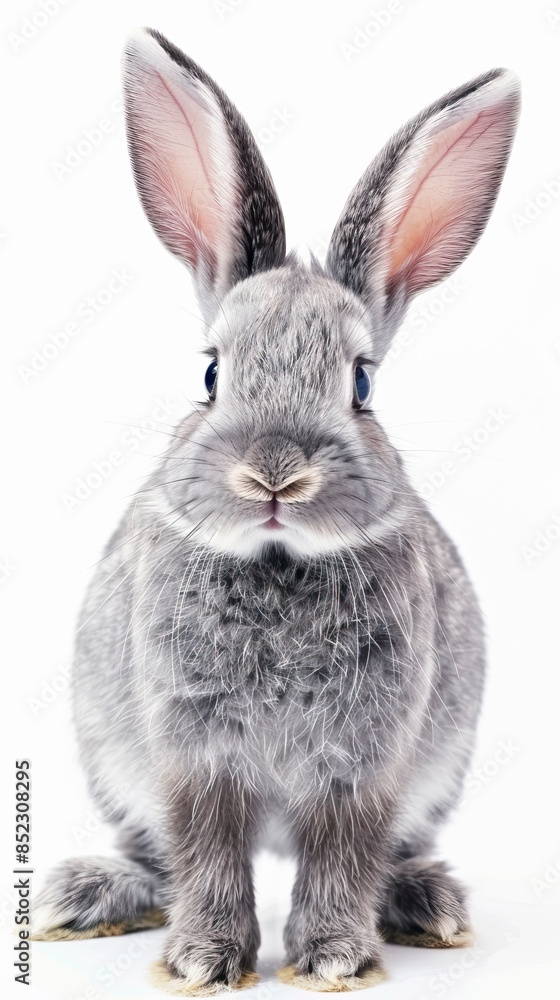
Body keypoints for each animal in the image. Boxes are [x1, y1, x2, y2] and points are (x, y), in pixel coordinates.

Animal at [32, 26, 520, 995]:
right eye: (211, 373)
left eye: (362, 385)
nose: (274, 476)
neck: (279, 562)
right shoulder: (193, 757)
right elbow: (207, 849)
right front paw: (204, 959)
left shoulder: (363, 767)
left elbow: (342, 853)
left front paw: (331, 957)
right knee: (153, 855)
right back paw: (87, 895)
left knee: (391, 854)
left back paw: (426, 905)